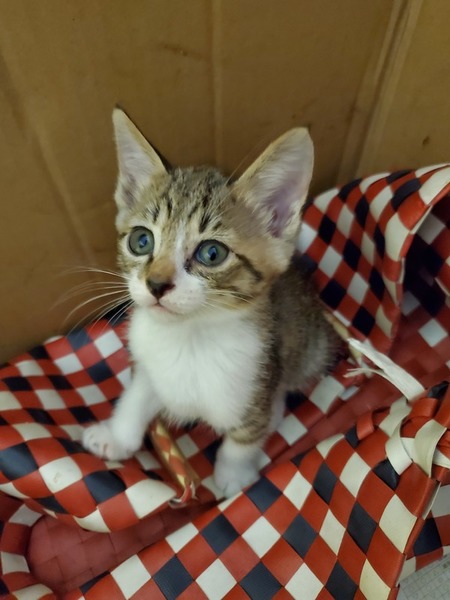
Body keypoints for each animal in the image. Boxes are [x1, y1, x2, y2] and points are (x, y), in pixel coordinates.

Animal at [82, 108, 339, 497]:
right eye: (141, 240)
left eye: (212, 253)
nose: (156, 284)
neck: (188, 338)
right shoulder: (148, 366)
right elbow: (135, 398)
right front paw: (116, 436)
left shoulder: (254, 381)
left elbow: (243, 438)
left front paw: (233, 480)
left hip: (309, 350)